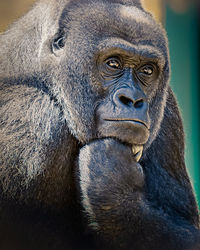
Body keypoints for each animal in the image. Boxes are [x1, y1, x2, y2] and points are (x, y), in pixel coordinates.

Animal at [0, 0, 200, 249]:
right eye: (113, 63)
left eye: (147, 70)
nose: (133, 100)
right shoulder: (33, 118)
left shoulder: (167, 108)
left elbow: (188, 230)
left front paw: (115, 187)